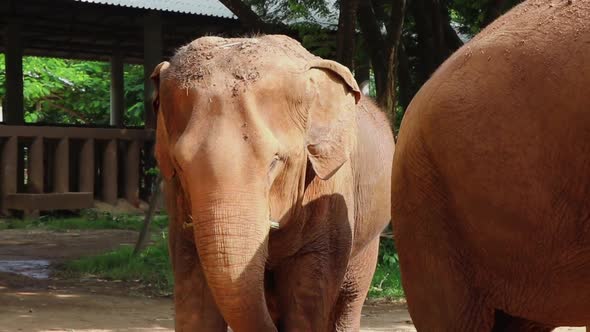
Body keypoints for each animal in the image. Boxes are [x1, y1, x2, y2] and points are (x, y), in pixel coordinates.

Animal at [150, 35, 396, 330]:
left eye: (274, 162)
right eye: (179, 166)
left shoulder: (330, 189)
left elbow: (305, 308)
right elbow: (196, 307)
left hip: (368, 235)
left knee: (348, 301)